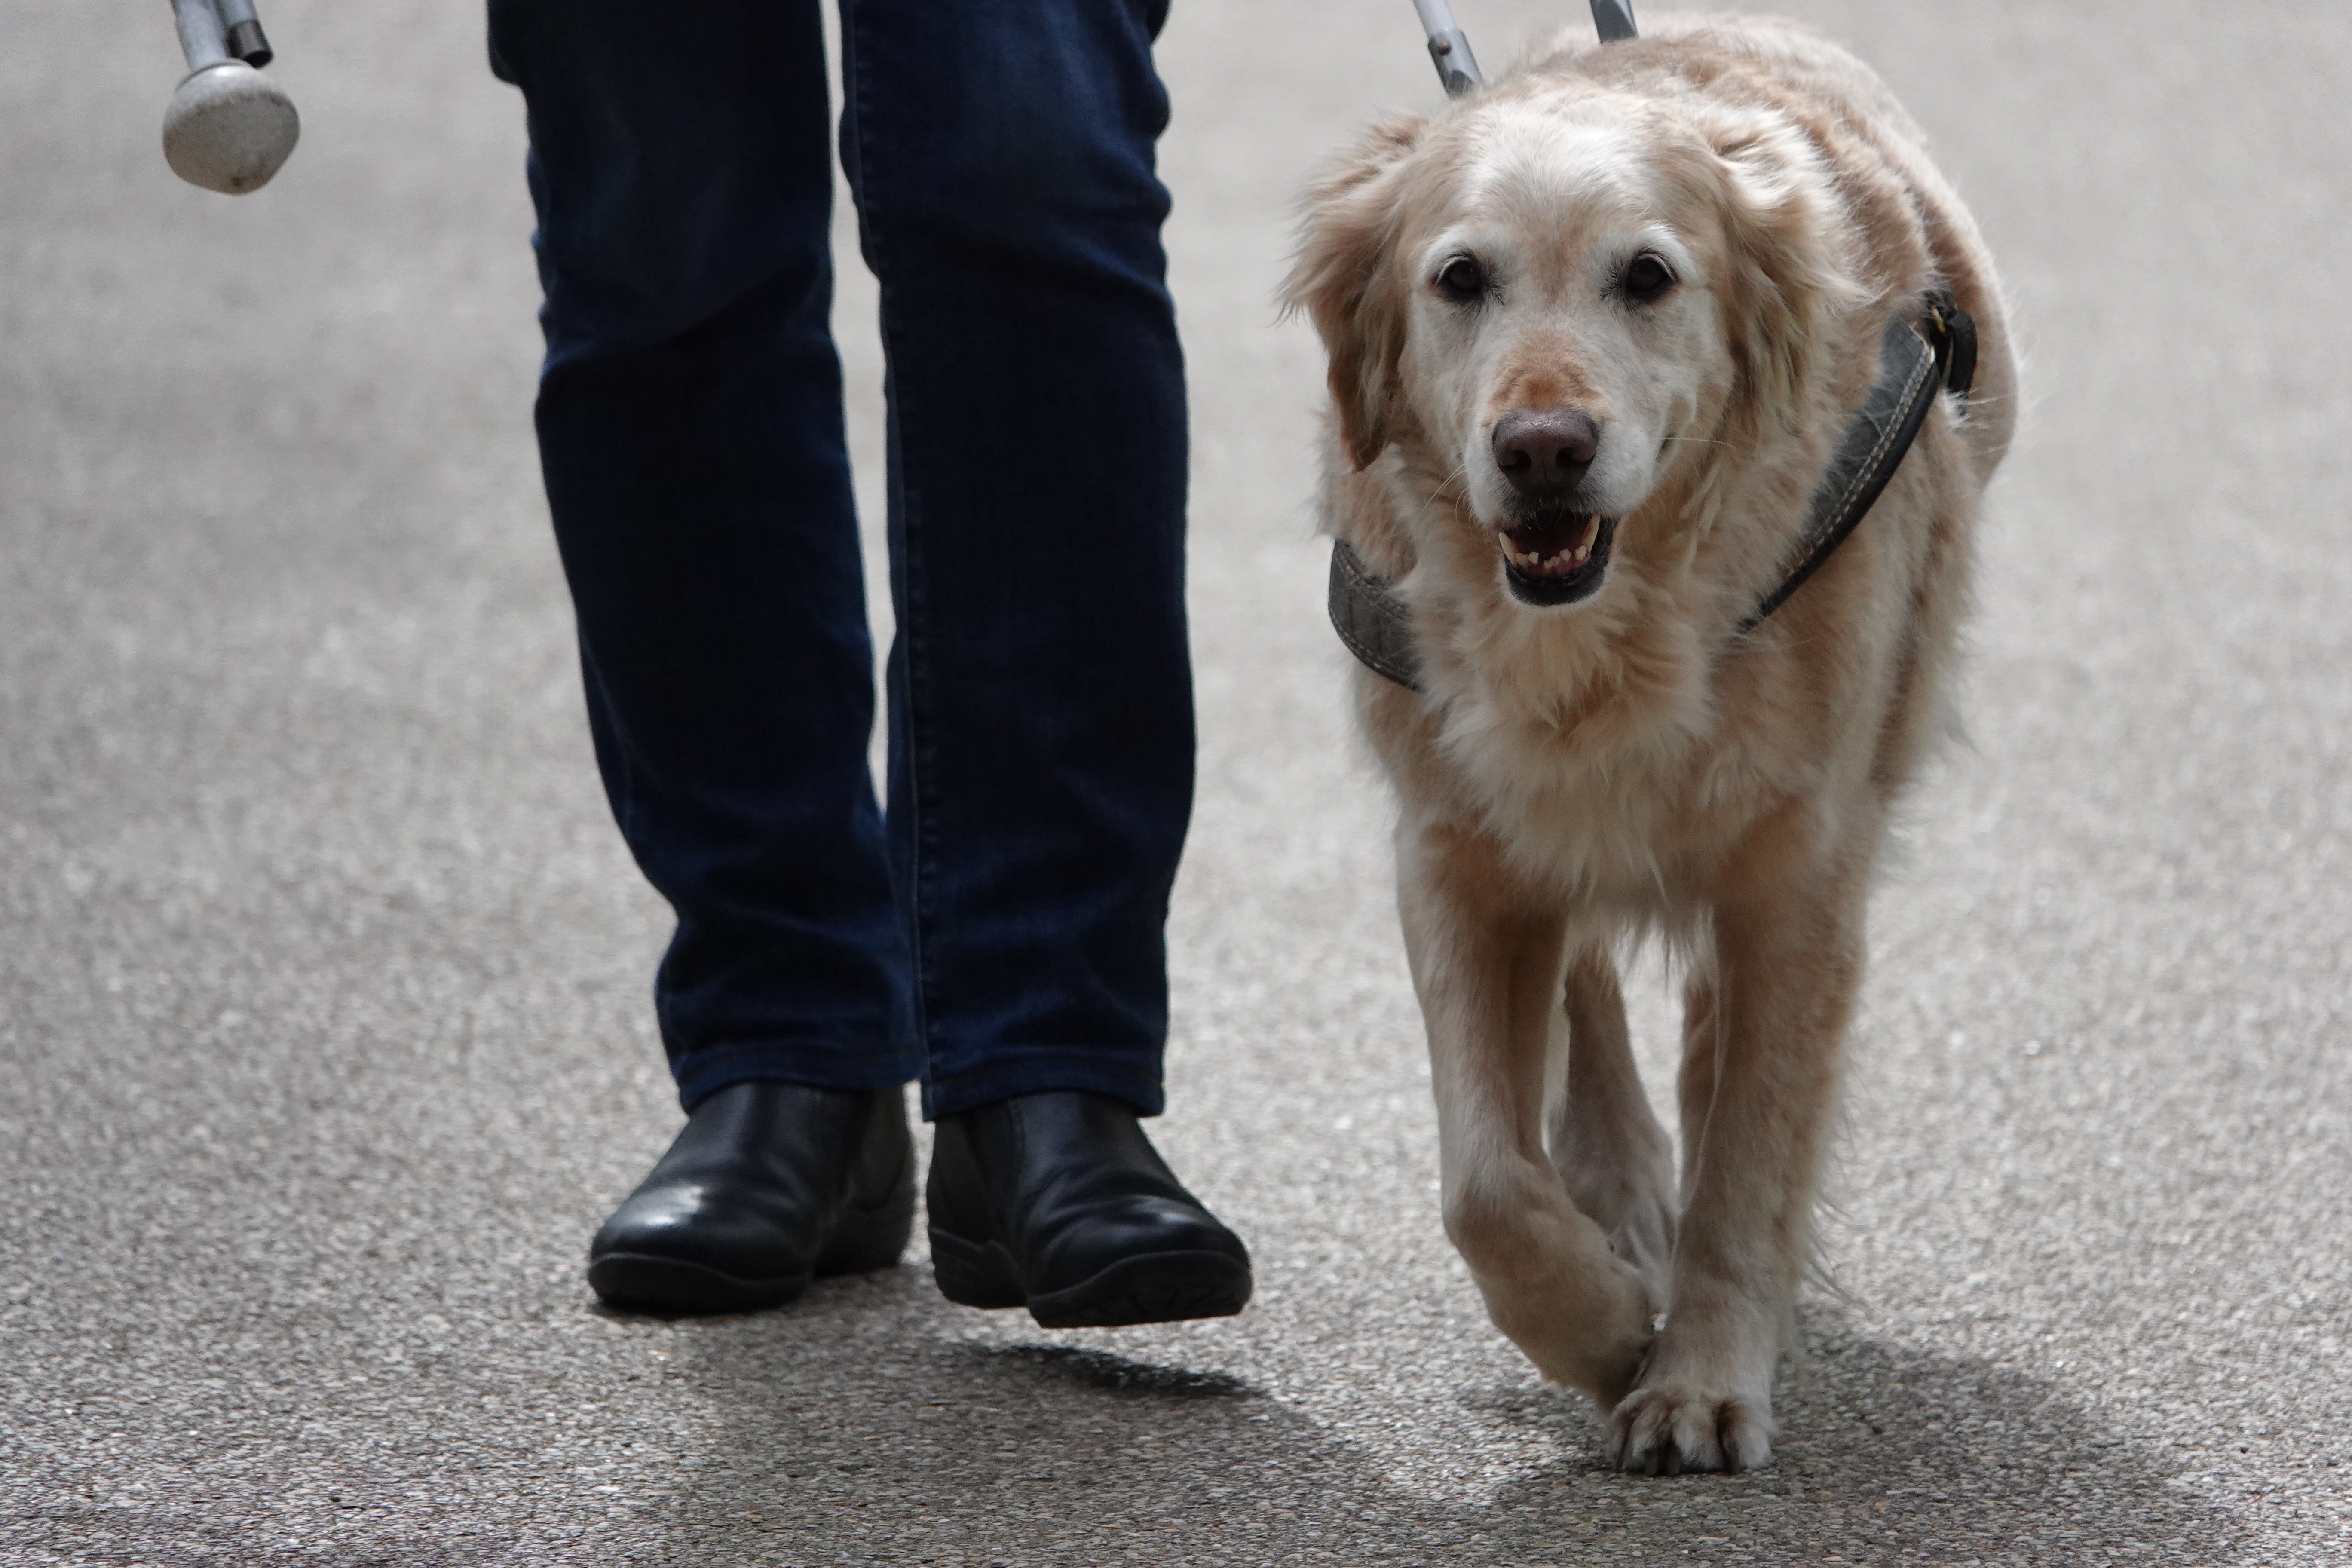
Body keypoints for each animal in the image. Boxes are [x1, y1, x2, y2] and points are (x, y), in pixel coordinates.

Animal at [1289, 15, 2022, 1476]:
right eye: (1460, 279)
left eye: (1648, 277)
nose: (1543, 449)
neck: (1607, 635)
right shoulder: (1453, 848)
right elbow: (1486, 1186)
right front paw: (1606, 1326)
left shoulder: (1802, 871)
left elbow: (1749, 1154)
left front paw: (1700, 1378)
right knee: (1590, 1001)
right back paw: (1623, 1195)